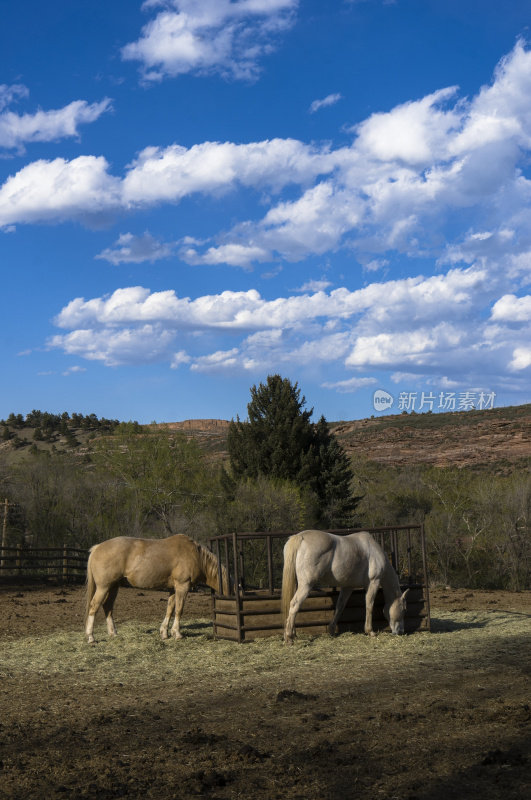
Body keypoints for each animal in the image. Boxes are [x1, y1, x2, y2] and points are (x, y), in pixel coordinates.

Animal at [85, 532, 229, 644]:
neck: (195, 555)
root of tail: (97, 548)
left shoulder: (173, 589)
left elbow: (170, 609)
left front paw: (164, 633)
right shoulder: (183, 586)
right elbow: (179, 610)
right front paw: (177, 634)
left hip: (114, 586)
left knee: (107, 606)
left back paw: (113, 633)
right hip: (103, 587)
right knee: (94, 606)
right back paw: (91, 637)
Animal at [282, 532, 412, 644]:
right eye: (404, 610)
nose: (401, 632)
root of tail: (300, 537)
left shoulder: (348, 587)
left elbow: (340, 607)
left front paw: (332, 630)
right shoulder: (373, 582)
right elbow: (369, 605)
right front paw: (370, 631)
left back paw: (293, 634)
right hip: (306, 585)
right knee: (294, 604)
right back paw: (289, 637)